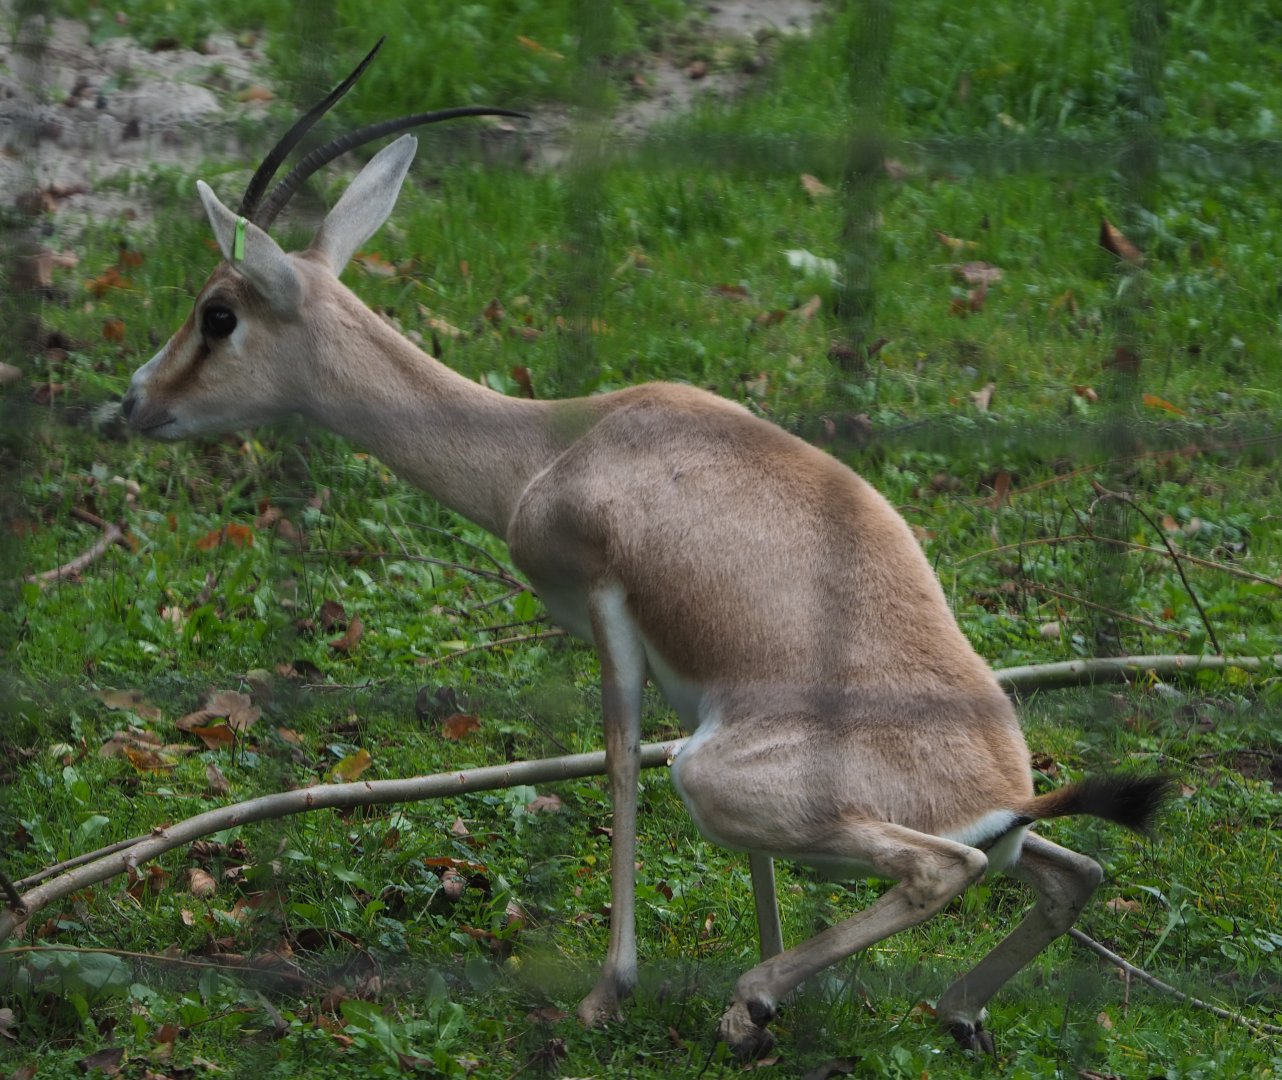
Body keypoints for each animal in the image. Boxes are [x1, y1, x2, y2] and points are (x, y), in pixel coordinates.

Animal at [121, 42, 1172, 1057]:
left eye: (218, 314)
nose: (135, 401)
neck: (551, 448)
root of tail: (1005, 795)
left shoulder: (606, 614)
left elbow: (620, 761)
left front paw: (611, 993)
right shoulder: (691, 687)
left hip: (720, 777)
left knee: (941, 867)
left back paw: (759, 997)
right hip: (958, 830)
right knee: (1073, 872)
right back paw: (930, 1008)